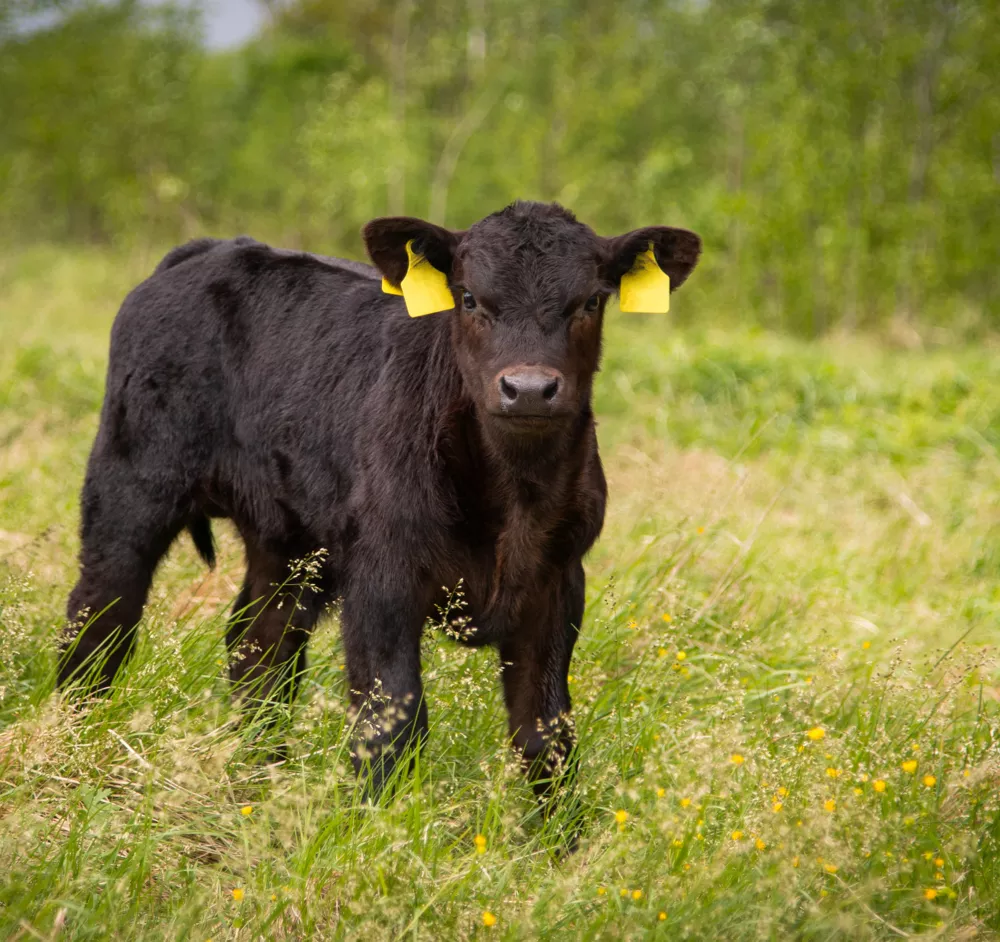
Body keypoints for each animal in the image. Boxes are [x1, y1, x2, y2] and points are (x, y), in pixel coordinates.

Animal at [58, 201, 701, 798]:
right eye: (469, 298)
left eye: (591, 301)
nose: (528, 388)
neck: (512, 497)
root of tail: (210, 250)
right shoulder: (380, 575)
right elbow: (392, 721)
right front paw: (379, 825)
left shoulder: (558, 580)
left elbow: (546, 735)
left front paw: (557, 843)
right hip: (129, 486)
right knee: (101, 618)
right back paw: (74, 745)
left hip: (288, 540)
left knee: (259, 646)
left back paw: (262, 778)